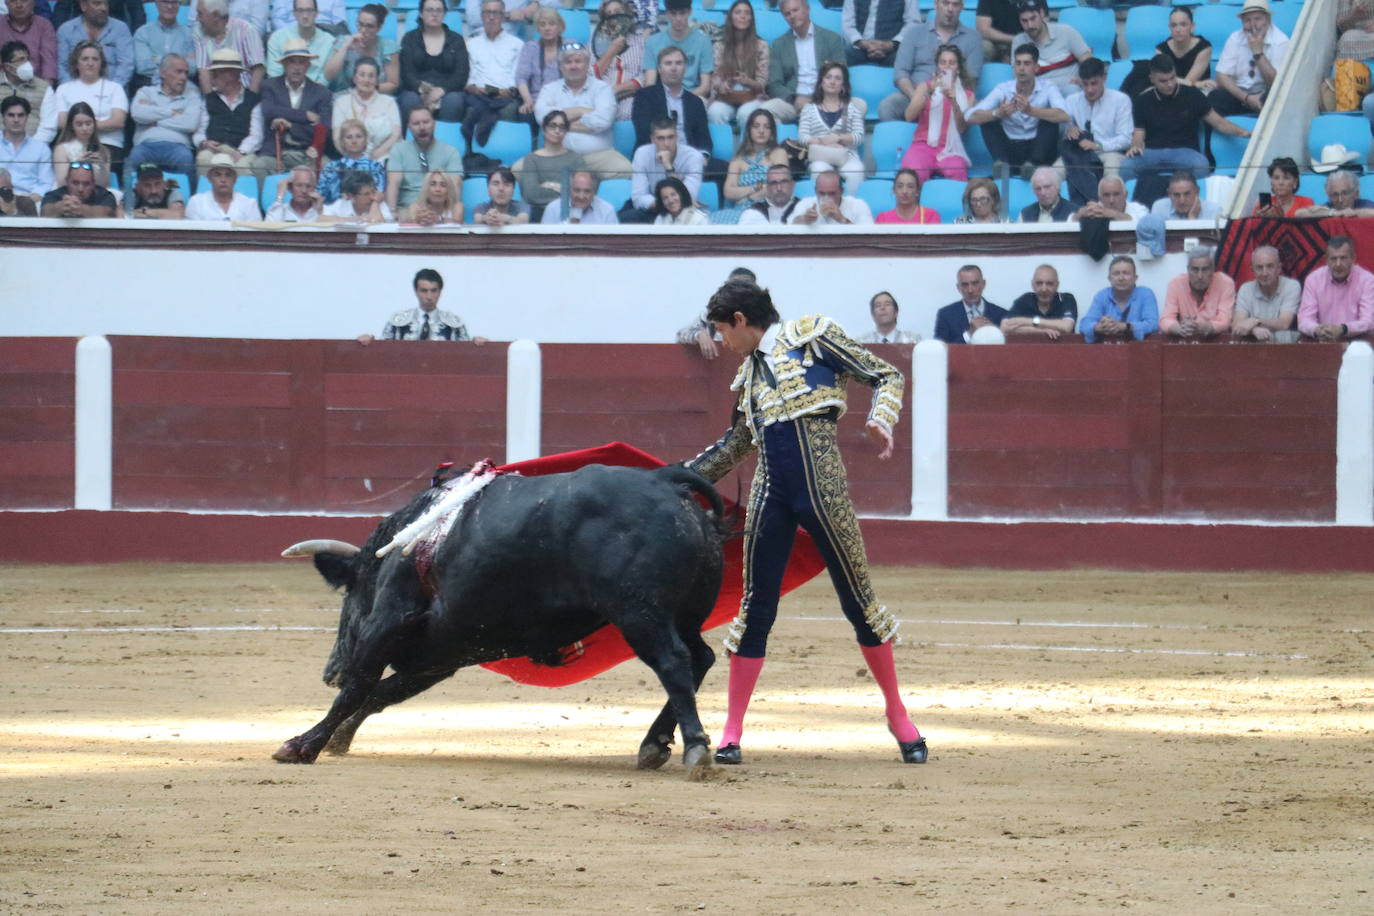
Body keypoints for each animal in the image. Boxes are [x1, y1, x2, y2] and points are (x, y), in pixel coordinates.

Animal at [270, 466, 730, 774]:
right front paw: (339, 737)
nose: (329, 671)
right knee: (700, 657)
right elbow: (380, 693)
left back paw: (694, 748)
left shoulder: (388, 620)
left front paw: (302, 745)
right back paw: (655, 744)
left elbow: (359, 686)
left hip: (640, 613)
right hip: (685, 614)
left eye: (347, 598)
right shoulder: (440, 658)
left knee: (672, 660)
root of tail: (667, 481)